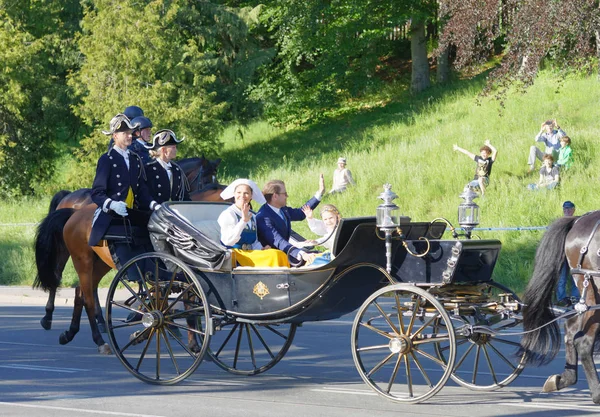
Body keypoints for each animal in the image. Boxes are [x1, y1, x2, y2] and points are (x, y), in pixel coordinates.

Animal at [33, 154, 227, 346]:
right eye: (204, 179)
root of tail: (72, 208)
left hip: (100, 262)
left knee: (83, 290)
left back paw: (77, 330)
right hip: (75, 255)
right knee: (62, 277)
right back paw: (55, 319)